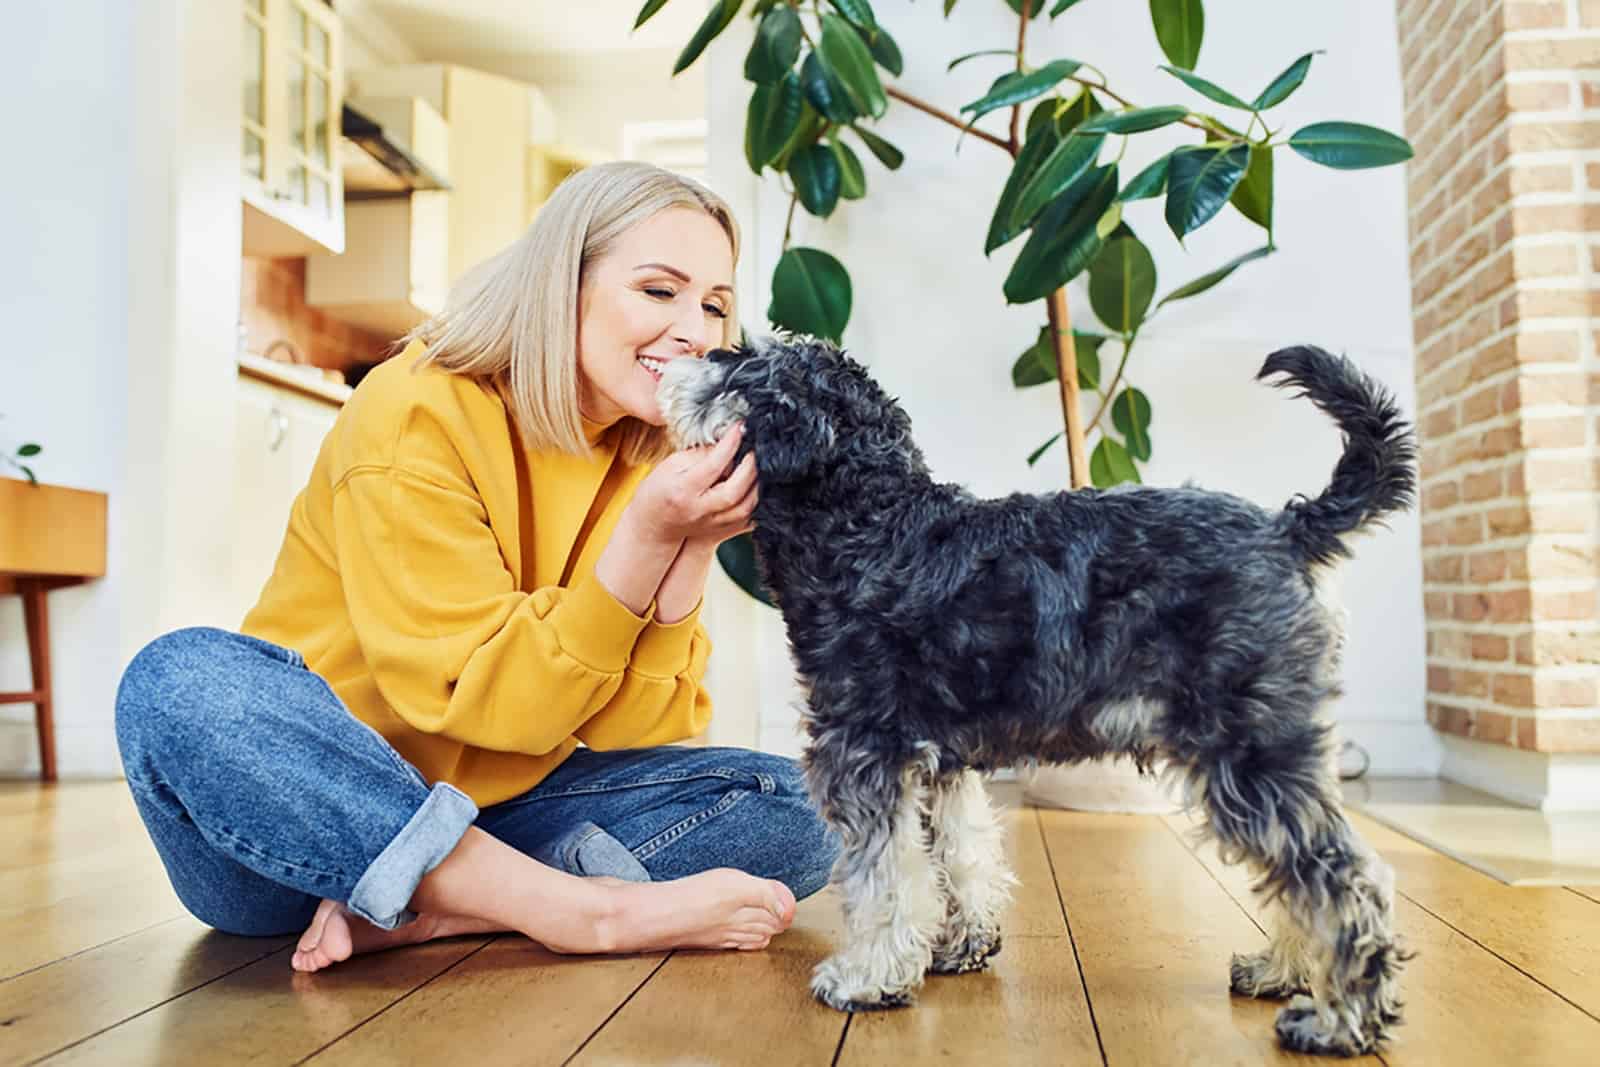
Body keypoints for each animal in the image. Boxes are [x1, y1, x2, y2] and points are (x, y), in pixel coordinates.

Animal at [656, 337, 1420, 1055]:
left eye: (737, 361)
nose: (683, 354)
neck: (865, 523)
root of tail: (1290, 532)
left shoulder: (865, 749)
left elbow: (886, 877)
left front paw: (867, 978)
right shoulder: (942, 759)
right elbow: (962, 851)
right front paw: (963, 944)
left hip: (1247, 750)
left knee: (1343, 877)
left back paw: (1341, 1021)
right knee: (1304, 870)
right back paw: (1280, 972)